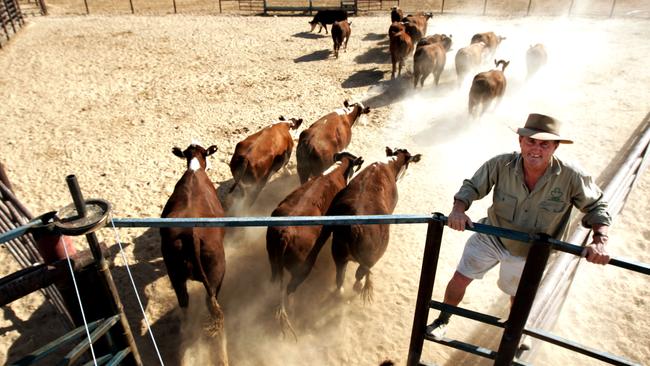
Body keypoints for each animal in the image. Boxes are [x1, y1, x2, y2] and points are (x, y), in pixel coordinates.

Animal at [159, 144, 228, 360]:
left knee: (185, 304)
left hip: (175, 275)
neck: (195, 170)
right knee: (213, 309)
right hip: (216, 276)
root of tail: (191, 233)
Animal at [266, 150, 362, 336]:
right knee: (290, 289)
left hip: (273, 259)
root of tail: (285, 234)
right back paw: (293, 309)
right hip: (303, 268)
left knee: (274, 281)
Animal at [312, 147, 420, 302]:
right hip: (371, 258)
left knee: (340, 278)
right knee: (359, 275)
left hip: (339, 254)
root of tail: (354, 227)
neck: (389, 164)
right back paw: (357, 286)